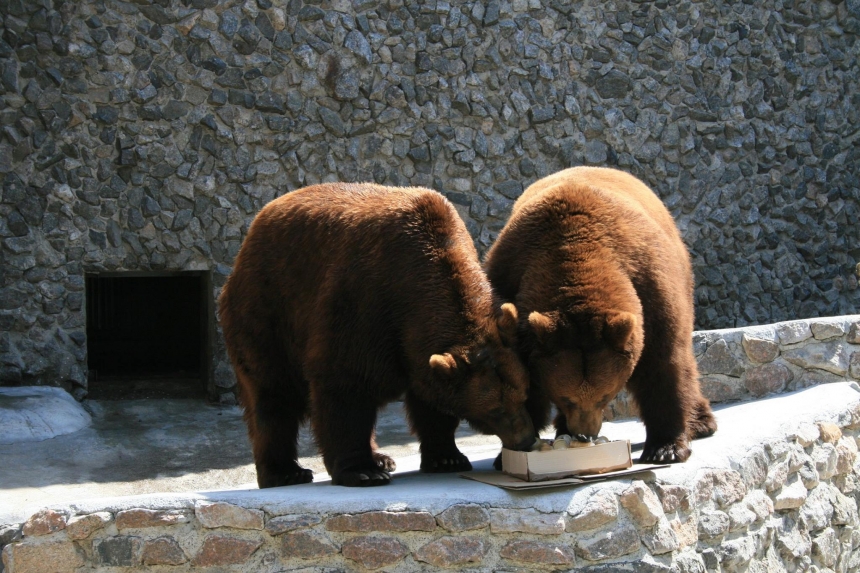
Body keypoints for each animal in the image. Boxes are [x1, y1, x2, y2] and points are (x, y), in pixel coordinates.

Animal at [218, 183, 536, 488]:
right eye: (495, 409)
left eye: (523, 394)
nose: (527, 439)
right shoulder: (362, 307)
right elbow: (345, 389)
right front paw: (362, 472)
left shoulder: (417, 346)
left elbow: (431, 399)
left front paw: (447, 457)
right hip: (266, 312)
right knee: (272, 395)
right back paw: (285, 473)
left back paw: (382, 458)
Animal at [484, 168, 720, 462]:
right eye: (565, 397)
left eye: (605, 396)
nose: (585, 433)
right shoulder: (510, 286)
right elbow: (521, 381)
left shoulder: (649, 288)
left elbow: (663, 364)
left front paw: (665, 448)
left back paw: (702, 422)